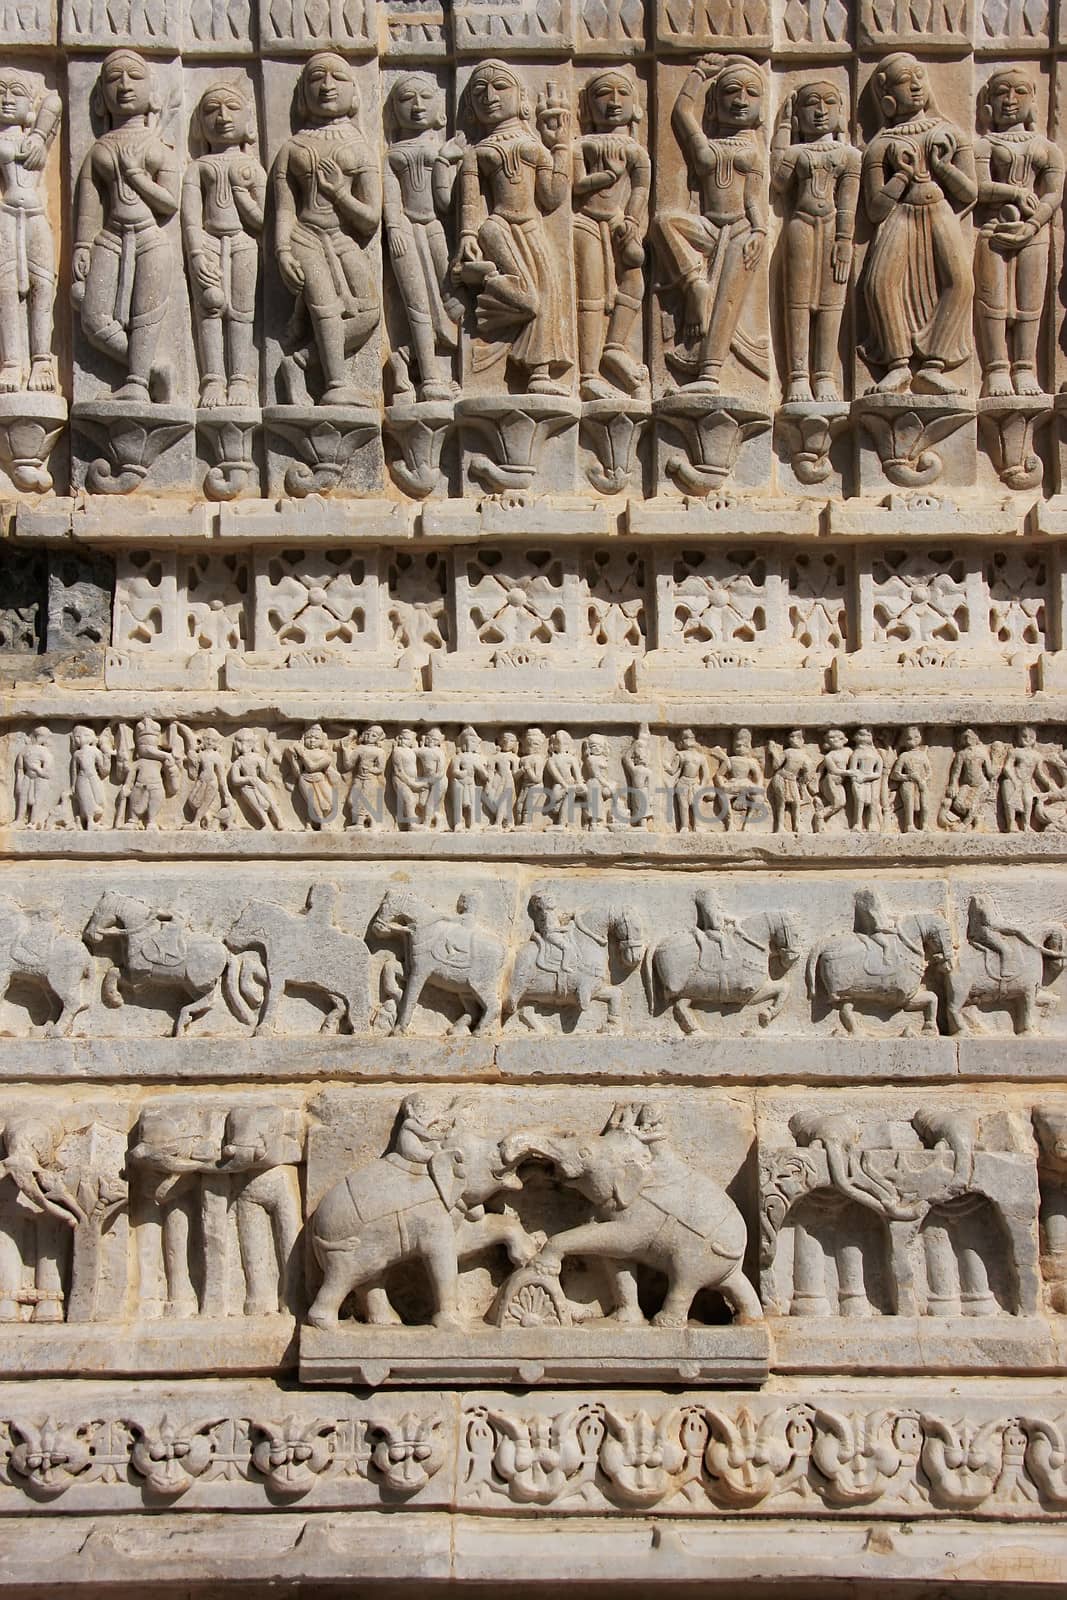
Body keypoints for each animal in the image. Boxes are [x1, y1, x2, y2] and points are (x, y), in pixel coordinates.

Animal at [303, 1107, 537, 1331]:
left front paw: (527, 1257)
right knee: (344, 1278)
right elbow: (443, 1256)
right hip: (347, 1248)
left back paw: (389, 1322)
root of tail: (314, 1227)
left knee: (370, 1277)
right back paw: (328, 1326)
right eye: (495, 1152)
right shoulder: (431, 1213)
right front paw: (455, 1325)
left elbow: (464, 1242)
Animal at [502, 1100, 758, 1324]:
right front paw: (623, 1321)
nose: (506, 1151)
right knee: (734, 1283)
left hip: (700, 1254)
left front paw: (542, 1266)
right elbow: (617, 1261)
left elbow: (621, 1240)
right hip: (723, 1266)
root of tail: (740, 1247)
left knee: (684, 1279)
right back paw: (748, 1319)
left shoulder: (642, 1217)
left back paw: (665, 1323)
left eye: (584, 1153)